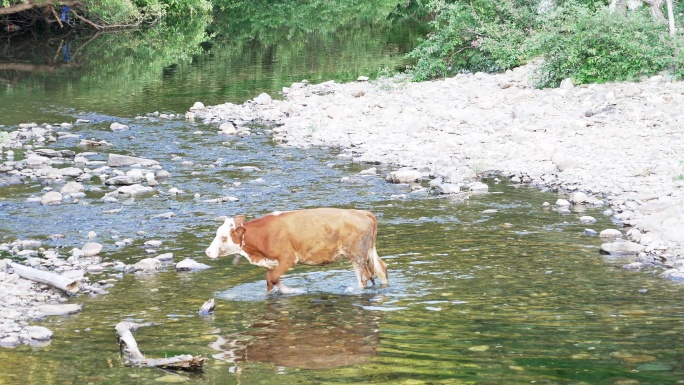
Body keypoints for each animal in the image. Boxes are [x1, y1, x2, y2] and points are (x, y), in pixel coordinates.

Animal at [204, 208, 390, 292]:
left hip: (357, 255)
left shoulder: (287, 258)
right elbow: (270, 281)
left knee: (364, 278)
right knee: (381, 269)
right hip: (369, 252)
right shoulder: (271, 263)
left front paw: (291, 291)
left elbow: (273, 279)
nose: (207, 252)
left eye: (223, 237)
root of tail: (361, 212)